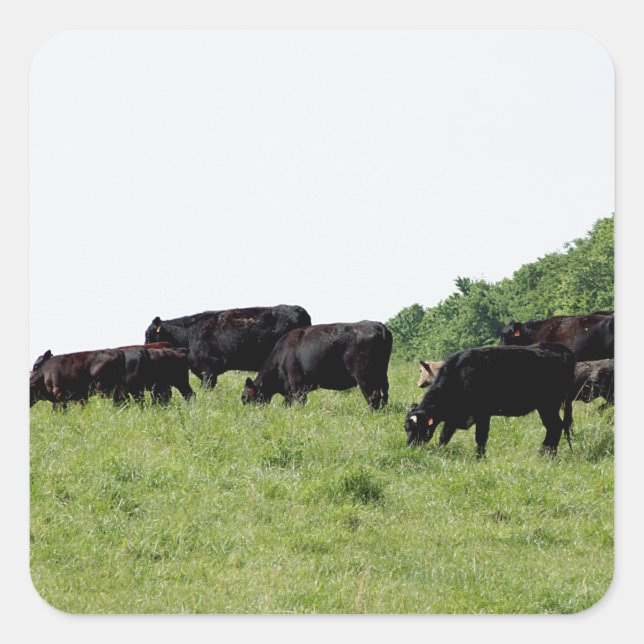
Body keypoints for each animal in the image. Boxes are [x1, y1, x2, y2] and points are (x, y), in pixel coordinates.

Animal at [241, 321, 392, 409]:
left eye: (245, 398)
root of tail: (376, 325)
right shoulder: (290, 390)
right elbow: (287, 403)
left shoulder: (297, 385)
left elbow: (299, 402)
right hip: (382, 374)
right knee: (384, 394)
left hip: (364, 376)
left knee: (373, 396)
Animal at [404, 343, 576, 457]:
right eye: (406, 428)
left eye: (417, 427)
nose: (410, 447)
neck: (459, 375)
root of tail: (560, 348)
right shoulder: (454, 417)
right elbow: (444, 436)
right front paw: (440, 452)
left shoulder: (483, 413)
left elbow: (480, 437)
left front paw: (479, 458)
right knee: (554, 427)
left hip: (548, 405)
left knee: (555, 426)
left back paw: (545, 454)